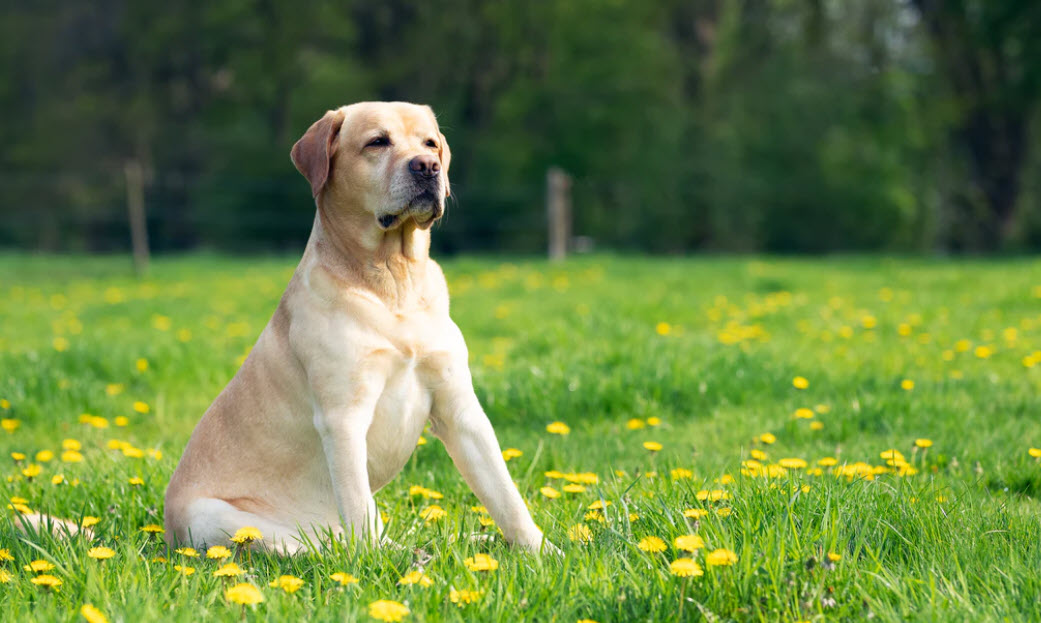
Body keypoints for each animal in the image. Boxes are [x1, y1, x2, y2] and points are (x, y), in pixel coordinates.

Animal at [161, 102, 549, 558]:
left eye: (430, 143)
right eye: (377, 142)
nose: (428, 167)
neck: (394, 281)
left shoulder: (460, 409)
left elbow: (506, 496)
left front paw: (544, 552)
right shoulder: (343, 417)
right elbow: (359, 513)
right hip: (220, 518)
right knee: (326, 548)